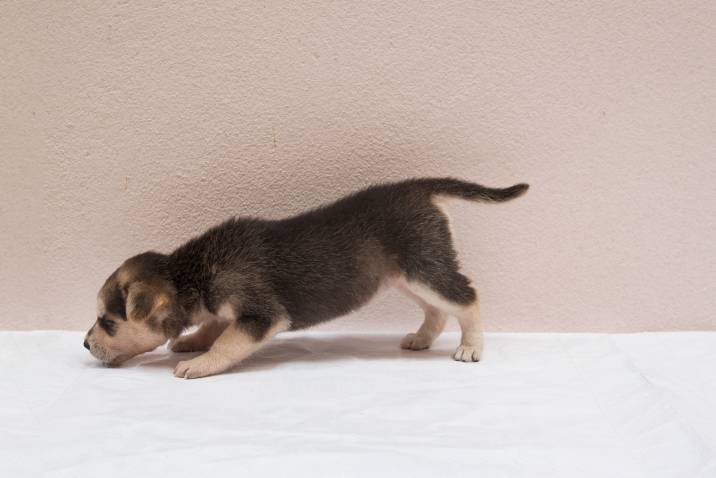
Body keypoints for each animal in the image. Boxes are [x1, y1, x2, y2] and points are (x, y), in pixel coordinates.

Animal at [86, 177, 528, 380]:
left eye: (108, 321)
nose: (86, 344)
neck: (192, 272)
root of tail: (419, 188)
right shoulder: (228, 308)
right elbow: (215, 325)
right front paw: (192, 340)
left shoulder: (262, 316)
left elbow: (227, 341)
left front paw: (199, 363)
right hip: (406, 276)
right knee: (437, 310)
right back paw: (421, 339)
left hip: (425, 269)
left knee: (467, 297)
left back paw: (470, 348)